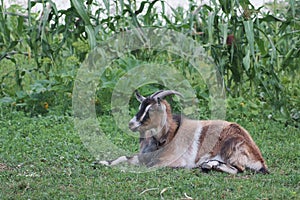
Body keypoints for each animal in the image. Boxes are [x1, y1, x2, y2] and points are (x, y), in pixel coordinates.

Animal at [99, 90, 270, 174]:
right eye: (141, 106)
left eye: (151, 110)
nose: (131, 124)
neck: (170, 135)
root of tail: (260, 158)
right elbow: (124, 157)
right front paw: (101, 162)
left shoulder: (171, 161)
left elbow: (147, 167)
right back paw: (208, 165)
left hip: (231, 146)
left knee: (238, 169)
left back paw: (210, 166)